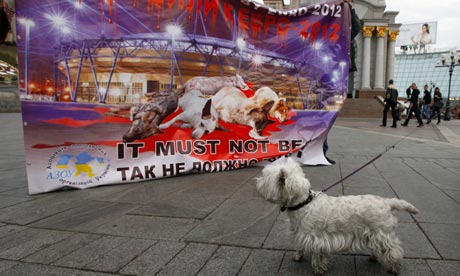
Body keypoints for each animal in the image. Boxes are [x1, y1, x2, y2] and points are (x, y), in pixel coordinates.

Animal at [256, 156, 418, 274]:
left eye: (264, 177)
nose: (256, 181)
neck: (303, 203)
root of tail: (387, 202)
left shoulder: (317, 238)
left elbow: (318, 255)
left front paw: (318, 270)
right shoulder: (299, 232)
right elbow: (299, 246)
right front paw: (297, 257)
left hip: (382, 233)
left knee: (394, 251)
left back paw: (394, 268)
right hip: (374, 233)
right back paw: (374, 257)